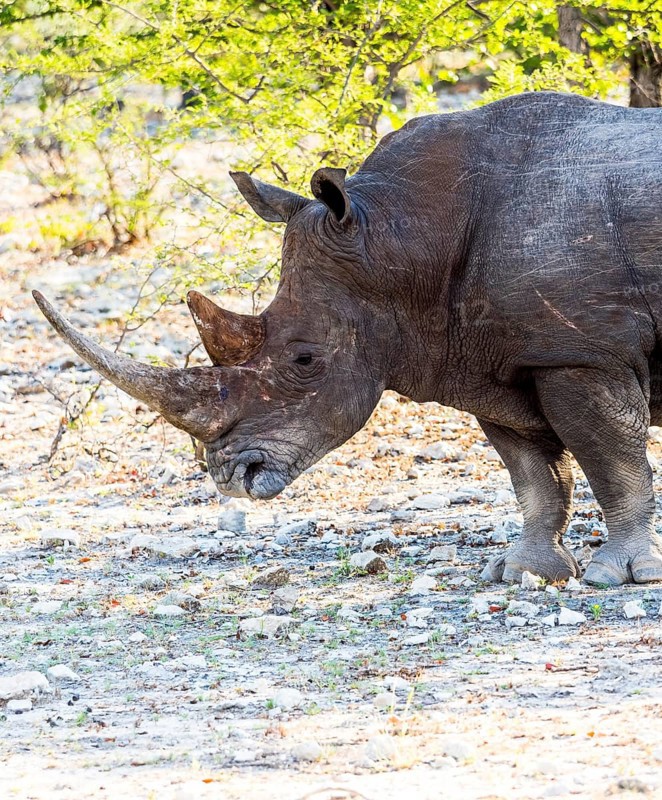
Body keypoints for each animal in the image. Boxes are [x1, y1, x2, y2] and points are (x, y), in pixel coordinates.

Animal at [34, 91, 662, 587]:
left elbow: (612, 458)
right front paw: (522, 572)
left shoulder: (581, 352)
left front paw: (620, 574)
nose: (232, 478)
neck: (396, 239)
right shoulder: (493, 357)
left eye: (306, 359)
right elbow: (533, 473)